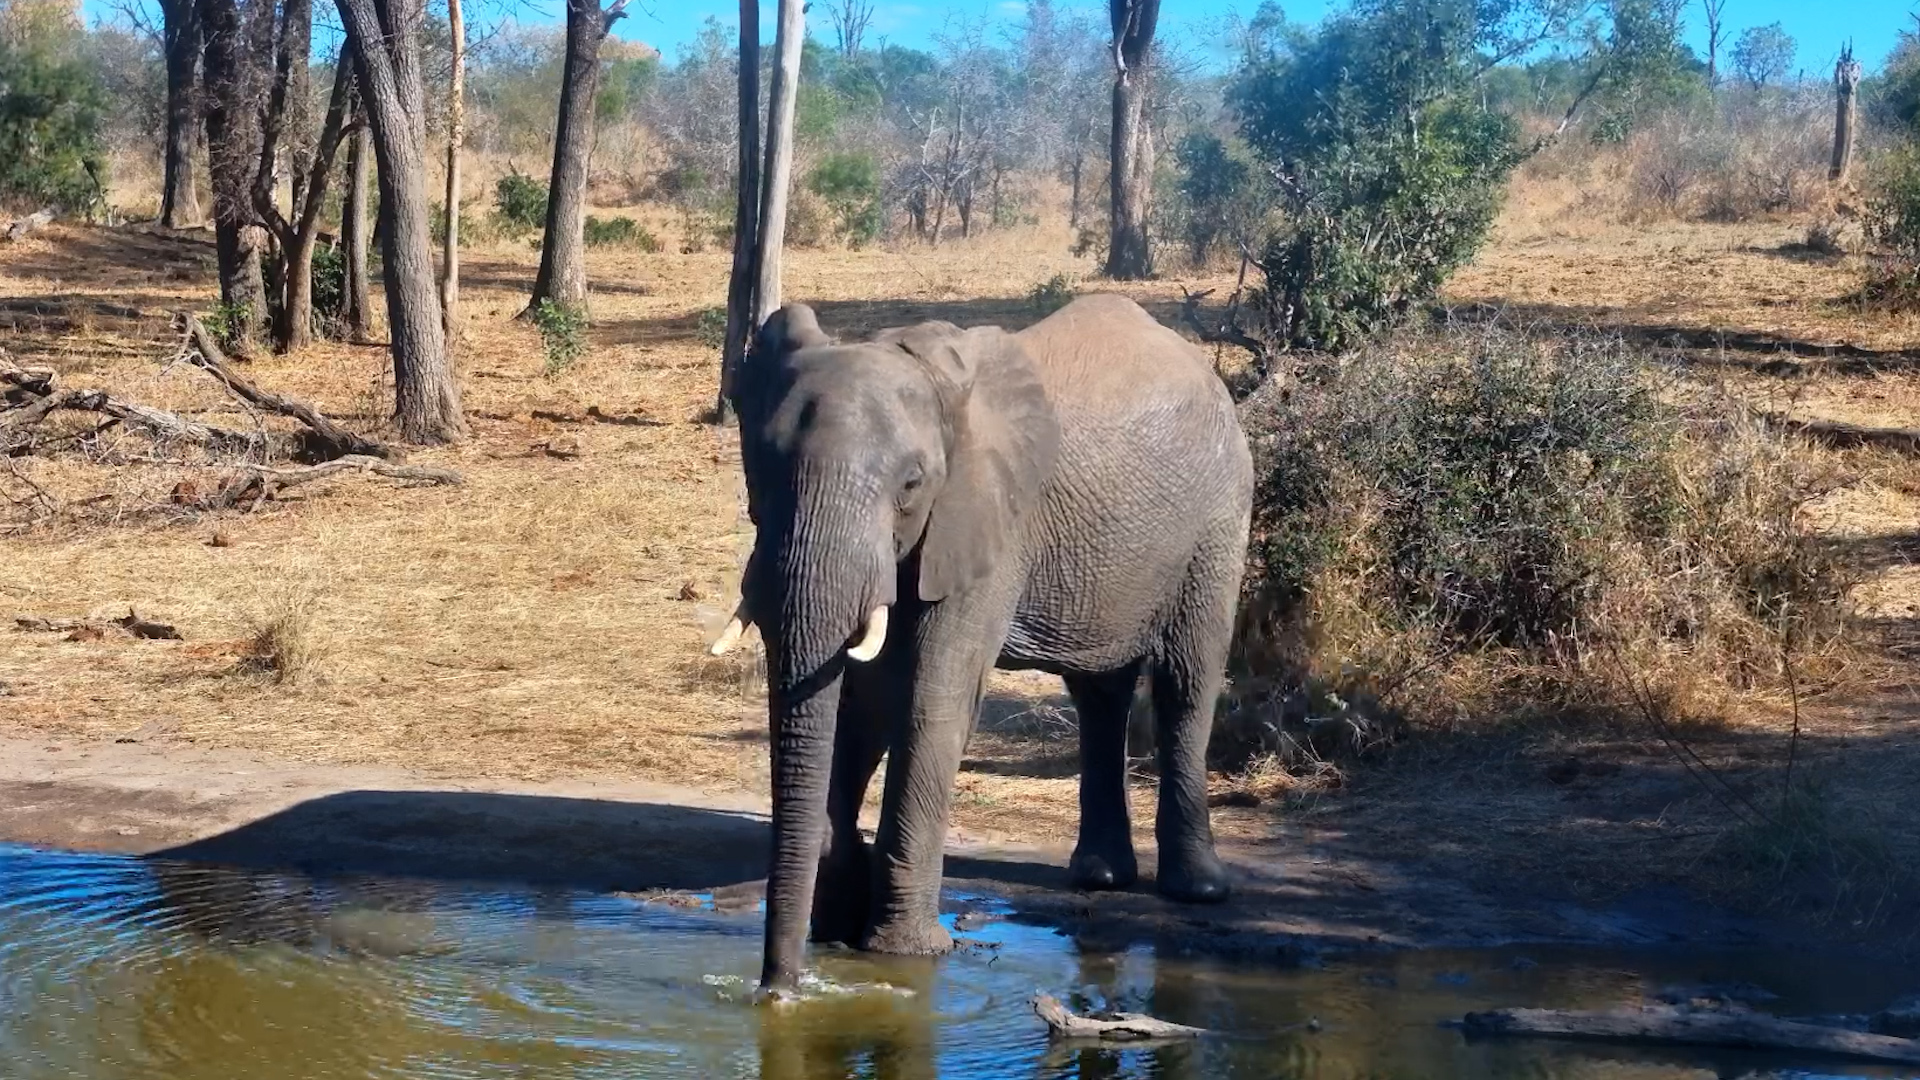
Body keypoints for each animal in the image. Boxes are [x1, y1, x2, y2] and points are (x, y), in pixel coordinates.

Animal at [716, 293, 1254, 992]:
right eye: (761, 468)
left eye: (912, 485)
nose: (778, 987)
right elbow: (865, 702)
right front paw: (836, 926)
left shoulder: (988, 521)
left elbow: (927, 697)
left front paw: (902, 952)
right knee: (1099, 694)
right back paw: (1100, 877)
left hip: (1219, 519)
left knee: (1187, 682)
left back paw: (1198, 890)